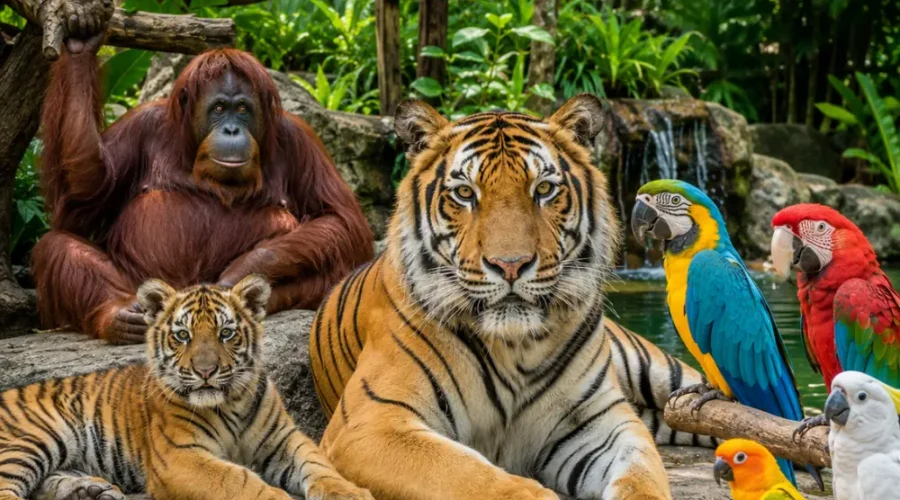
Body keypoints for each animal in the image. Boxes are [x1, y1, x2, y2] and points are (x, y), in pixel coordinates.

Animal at [0, 275, 372, 500]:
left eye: (226, 333)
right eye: (182, 335)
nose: (205, 371)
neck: (232, 403)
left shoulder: (285, 440)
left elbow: (320, 465)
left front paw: (349, 492)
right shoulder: (179, 456)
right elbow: (236, 479)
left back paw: (92, 491)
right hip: (31, 439)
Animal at [309, 94, 713, 500]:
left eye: (544, 189)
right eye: (465, 193)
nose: (510, 265)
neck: (517, 347)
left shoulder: (601, 422)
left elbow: (640, 473)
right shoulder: (371, 423)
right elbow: (468, 473)